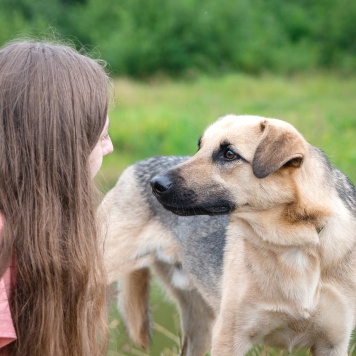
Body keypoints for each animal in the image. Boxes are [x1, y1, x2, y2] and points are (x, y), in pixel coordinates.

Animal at [152, 114, 356, 356]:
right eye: (200, 147)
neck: (295, 242)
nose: (155, 184)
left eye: (229, 154)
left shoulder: (333, 343)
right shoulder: (228, 338)